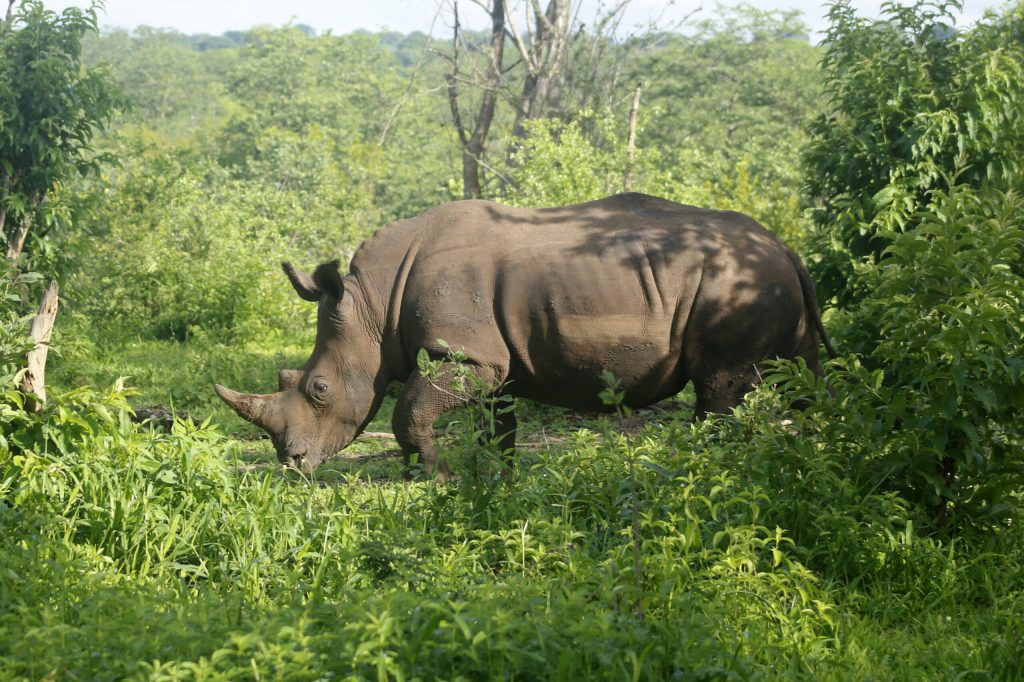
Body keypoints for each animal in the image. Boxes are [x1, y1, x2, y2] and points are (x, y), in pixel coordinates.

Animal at [216, 193, 835, 479]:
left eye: (318, 389)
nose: (293, 463)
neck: (372, 305)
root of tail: (786, 248)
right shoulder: (494, 361)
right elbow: (498, 425)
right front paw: (494, 482)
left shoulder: (467, 353)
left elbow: (409, 411)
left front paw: (435, 478)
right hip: (770, 289)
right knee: (802, 381)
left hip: (737, 287)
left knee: (720, 388)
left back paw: (700, 474)